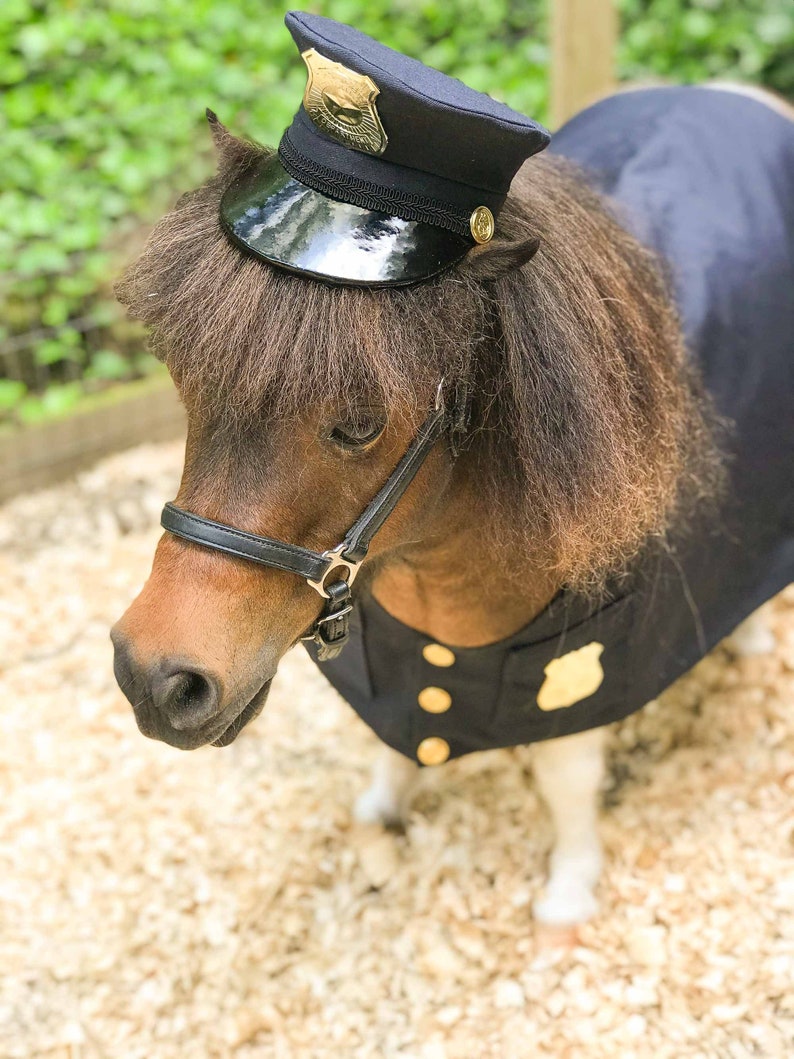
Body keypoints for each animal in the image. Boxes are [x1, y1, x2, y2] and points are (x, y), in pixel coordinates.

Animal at [112, 113, 728, 927]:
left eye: (361, 425)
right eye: (186, 380)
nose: (152, 677)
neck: (444, 578)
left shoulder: (584, 659)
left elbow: (566, 770)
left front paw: (569, 887)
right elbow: (395, 728)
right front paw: (383, 804)